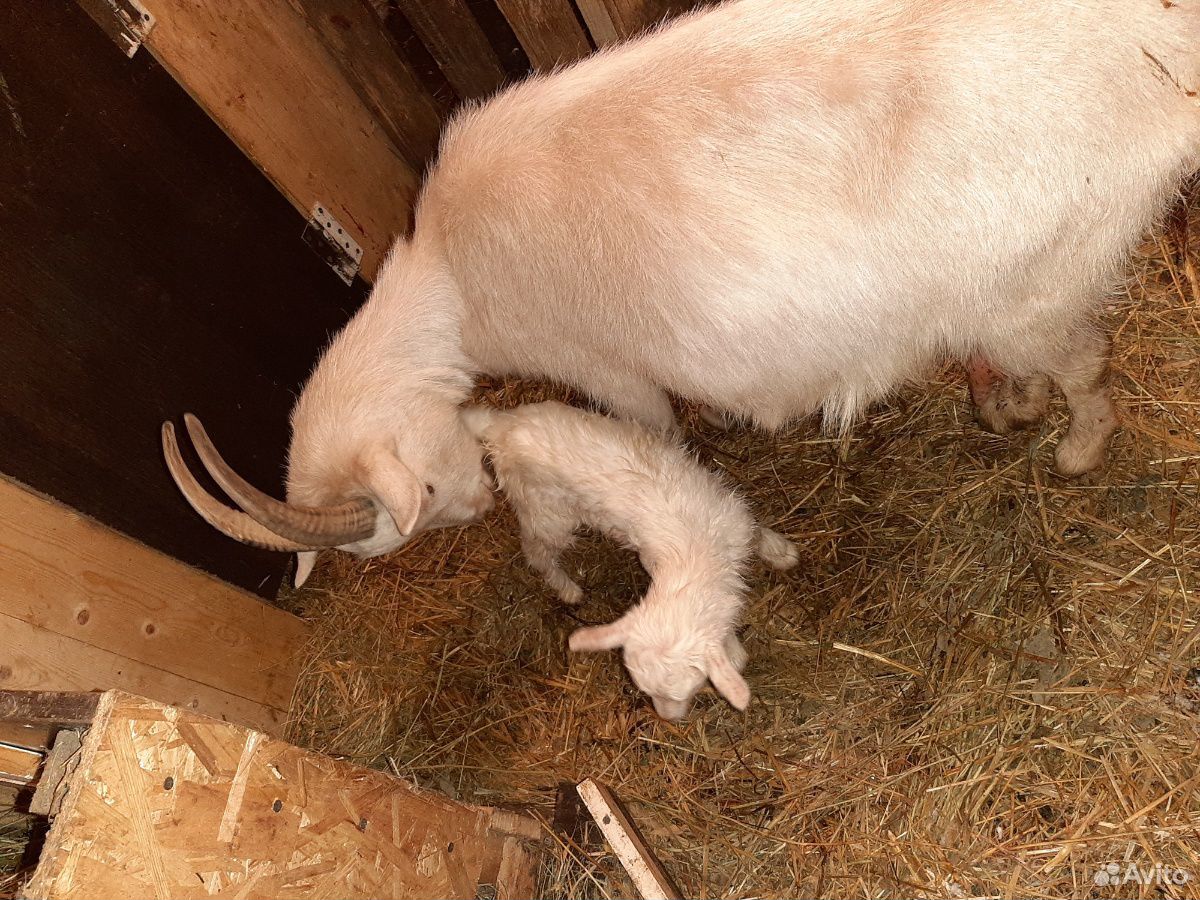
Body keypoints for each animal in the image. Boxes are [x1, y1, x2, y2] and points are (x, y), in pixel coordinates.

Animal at [162, 0, 1200, 588]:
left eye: (393, 520)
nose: (485, 509)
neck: (452, 278)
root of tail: (1163, 48)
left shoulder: (606, 371)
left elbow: (655, 437)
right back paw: (1014, 405)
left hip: (1041, 275)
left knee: (1084, 361)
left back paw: (1076, 448)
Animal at [463, 400, 801, 720]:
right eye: (646, 691)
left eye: (680, 694)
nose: (666, 720)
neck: (695, 553)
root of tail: (499, 426)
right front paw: (734, 652)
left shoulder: (733, 519)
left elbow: (757, 533)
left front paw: (782, 552)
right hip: (545, 512)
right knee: (537, 552)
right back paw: (566, 588)